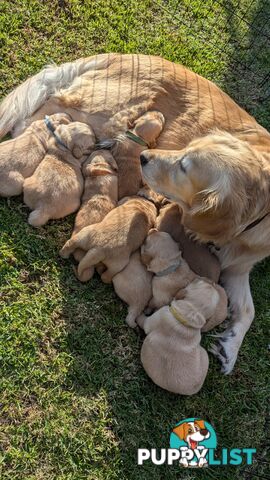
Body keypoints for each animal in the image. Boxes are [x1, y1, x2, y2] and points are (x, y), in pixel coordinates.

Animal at [1, 54, 268, 374]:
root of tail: (118, 55)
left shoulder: (239, 266)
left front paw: (230, 347)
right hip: (97, 115)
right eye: (185, 152)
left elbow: (249, 309)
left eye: (184, 167)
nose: (145, 157)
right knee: (33, 121)